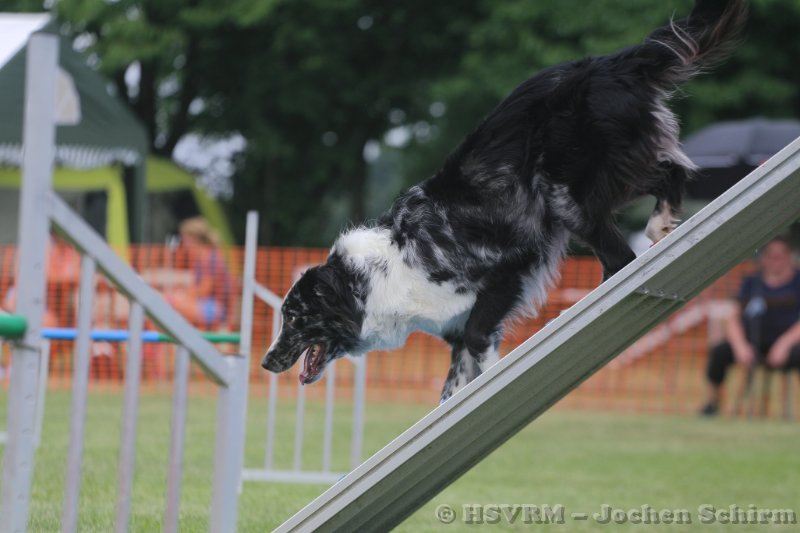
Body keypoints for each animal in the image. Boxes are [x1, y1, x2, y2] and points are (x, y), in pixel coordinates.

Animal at [262, 0, 747, 402]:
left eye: (295, 317)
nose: (266, 362)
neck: (380, 275)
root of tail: (605, 64)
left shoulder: (509, 267)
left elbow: (480, 341)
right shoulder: (455, 329)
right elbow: (452, 387)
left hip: (566, 194)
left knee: (635, 232)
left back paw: (646, 241)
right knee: (663, 183)